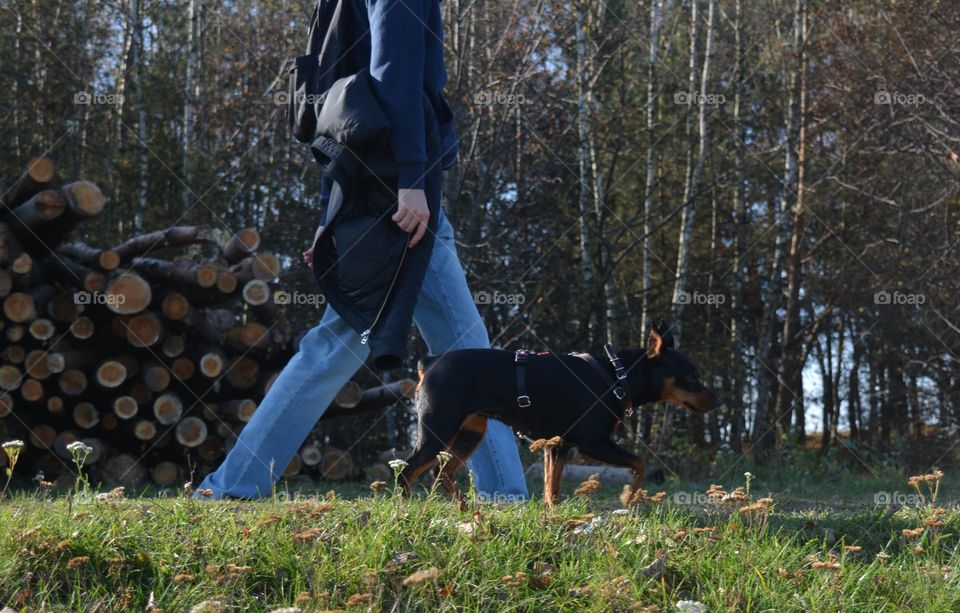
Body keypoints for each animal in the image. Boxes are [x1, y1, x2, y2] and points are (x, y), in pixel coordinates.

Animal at [398, 322, 720, 504]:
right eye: (691, 376)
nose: (716, 402)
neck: (617, 377)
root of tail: (430, 363)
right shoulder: (593, 443)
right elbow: (640, 462)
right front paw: (630, 498)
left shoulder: (557, 445)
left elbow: (551, 489)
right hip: (438, 429)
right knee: (408, 471)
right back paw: (408, 508)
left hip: (470, 432)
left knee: (441, 472)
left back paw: (466, 508)